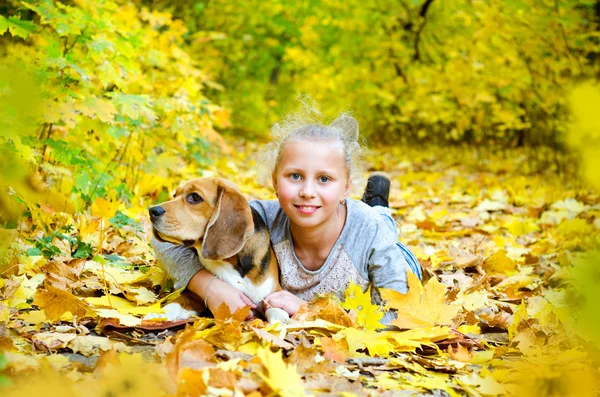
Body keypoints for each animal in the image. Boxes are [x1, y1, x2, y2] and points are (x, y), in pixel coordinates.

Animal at [151, 176, 290, 322]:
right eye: (174, 195)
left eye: (195, 197)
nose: (152, 211)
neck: (229, 262)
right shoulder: (194, 296)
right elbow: (177, 302)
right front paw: (158, 314)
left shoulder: (274, 293)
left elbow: (277, 311)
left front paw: (281, 322)